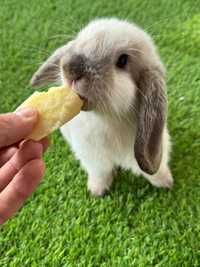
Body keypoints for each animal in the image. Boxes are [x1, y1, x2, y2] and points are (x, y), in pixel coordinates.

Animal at [30, 17, 173, 197]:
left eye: (122, 60)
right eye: (79, 41)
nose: (69, 68)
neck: (106, 119)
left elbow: (157, 170)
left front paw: (166, 182)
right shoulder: (93, 158)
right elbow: (100, 174)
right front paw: (97, 191)